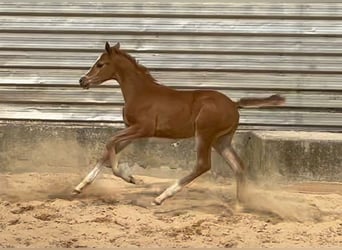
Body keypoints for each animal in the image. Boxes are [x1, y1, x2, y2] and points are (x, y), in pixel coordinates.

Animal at [75, 41, 286, 205]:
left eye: (100, 64)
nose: (82, 81)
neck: (140, 92)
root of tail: (234, 104)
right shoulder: (132, 131)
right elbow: (107, 151)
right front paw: (79, 187)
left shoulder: (143, 129)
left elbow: (109, 142)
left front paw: (130, 178)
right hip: (222, 140)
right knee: (238, 166)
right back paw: (239, 206)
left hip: (204, 134)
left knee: (203, 165)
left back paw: (161, 197)